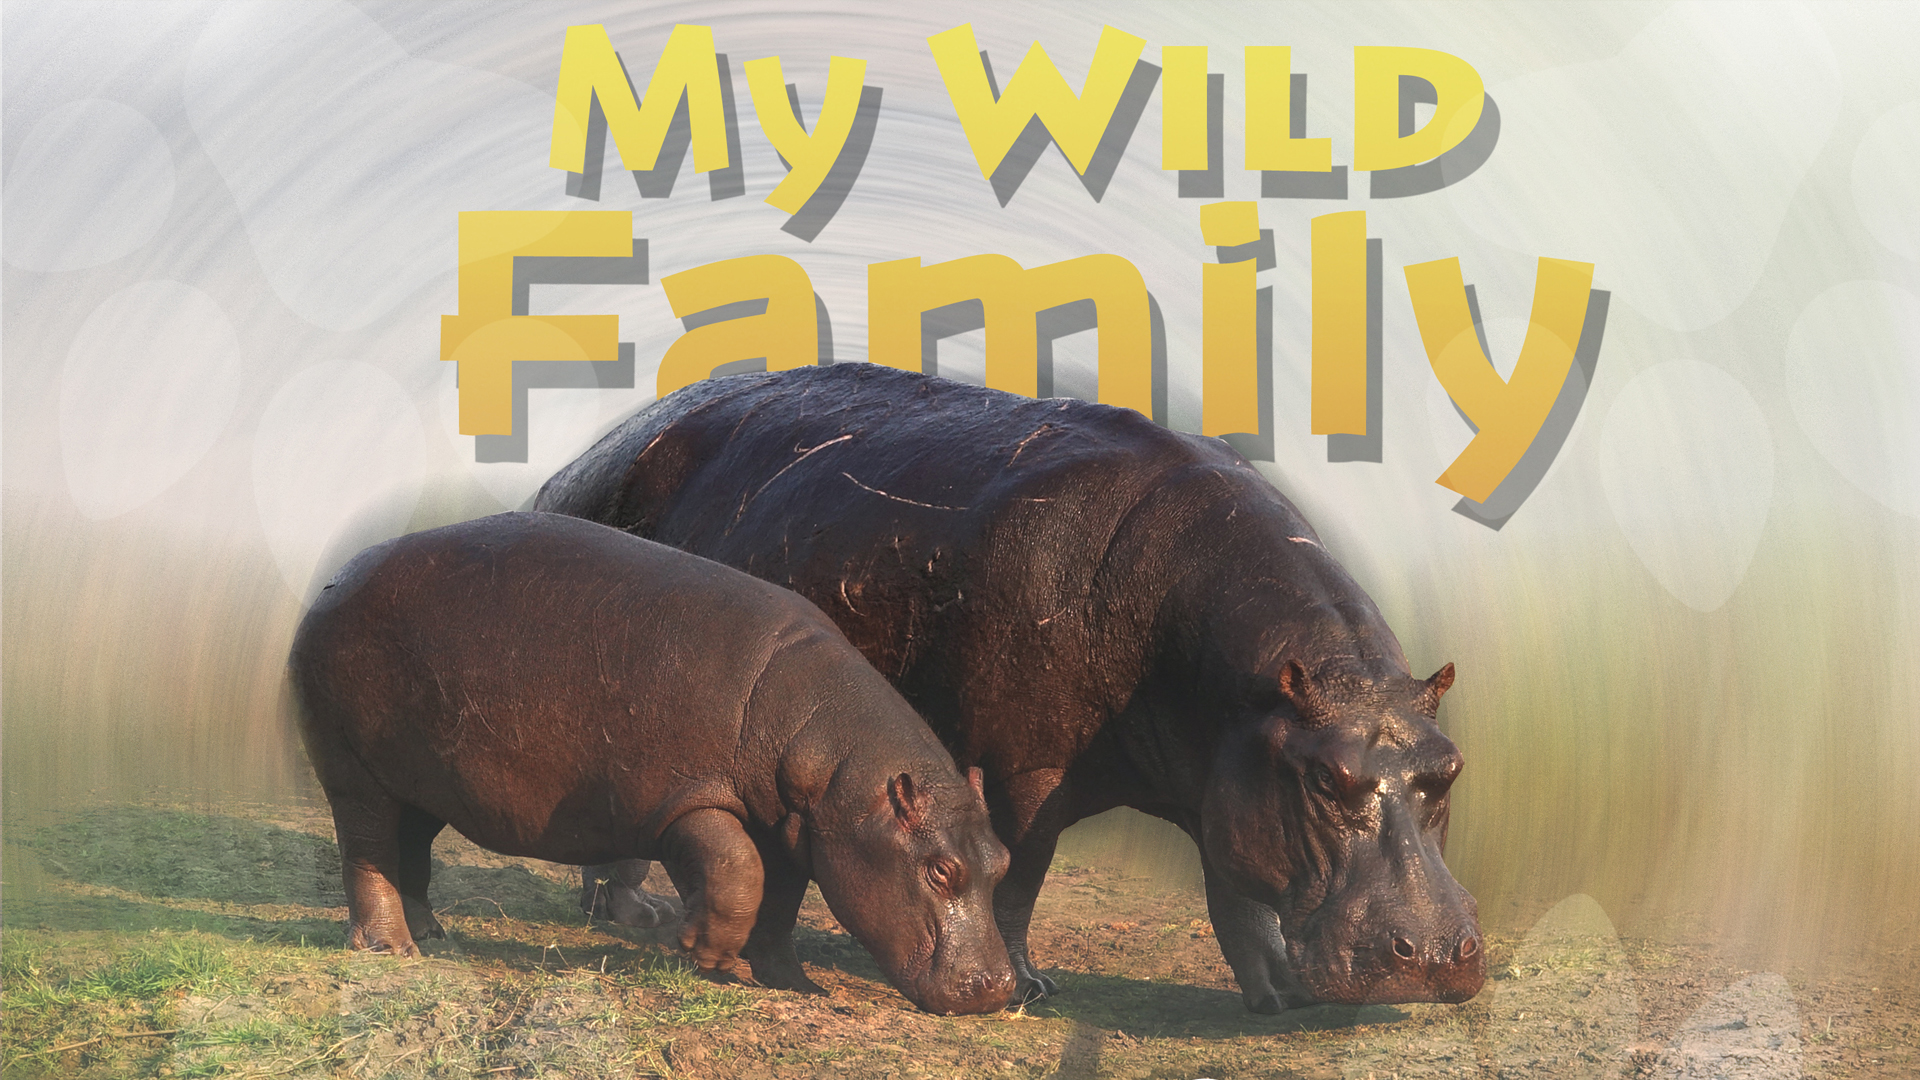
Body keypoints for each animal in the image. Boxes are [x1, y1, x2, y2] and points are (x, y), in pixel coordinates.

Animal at [288, 512, 1014, 1015]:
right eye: (941, 870)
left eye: (1003, 861)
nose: (1001, 988)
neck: (827, 760)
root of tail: (329, 583)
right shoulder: (686, 799)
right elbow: (737, 871)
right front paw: (701, 952)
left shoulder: (792, 830)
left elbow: (778, 903)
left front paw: (794, 984)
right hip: (355, 774)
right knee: (367, 852)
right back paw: (391, 949)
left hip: (421, 785)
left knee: (409, 849)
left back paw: (434, 936)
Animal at [536, 364, 1485, 1012]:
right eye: (1325, 777)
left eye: (1450, 767)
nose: (1439, 956)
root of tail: (576, 463)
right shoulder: (1032, 763)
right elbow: (1026, 865)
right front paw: (1029, 985)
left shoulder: (1225, 776)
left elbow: (1237, 894)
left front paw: (1277, 997)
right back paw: (627, 910)